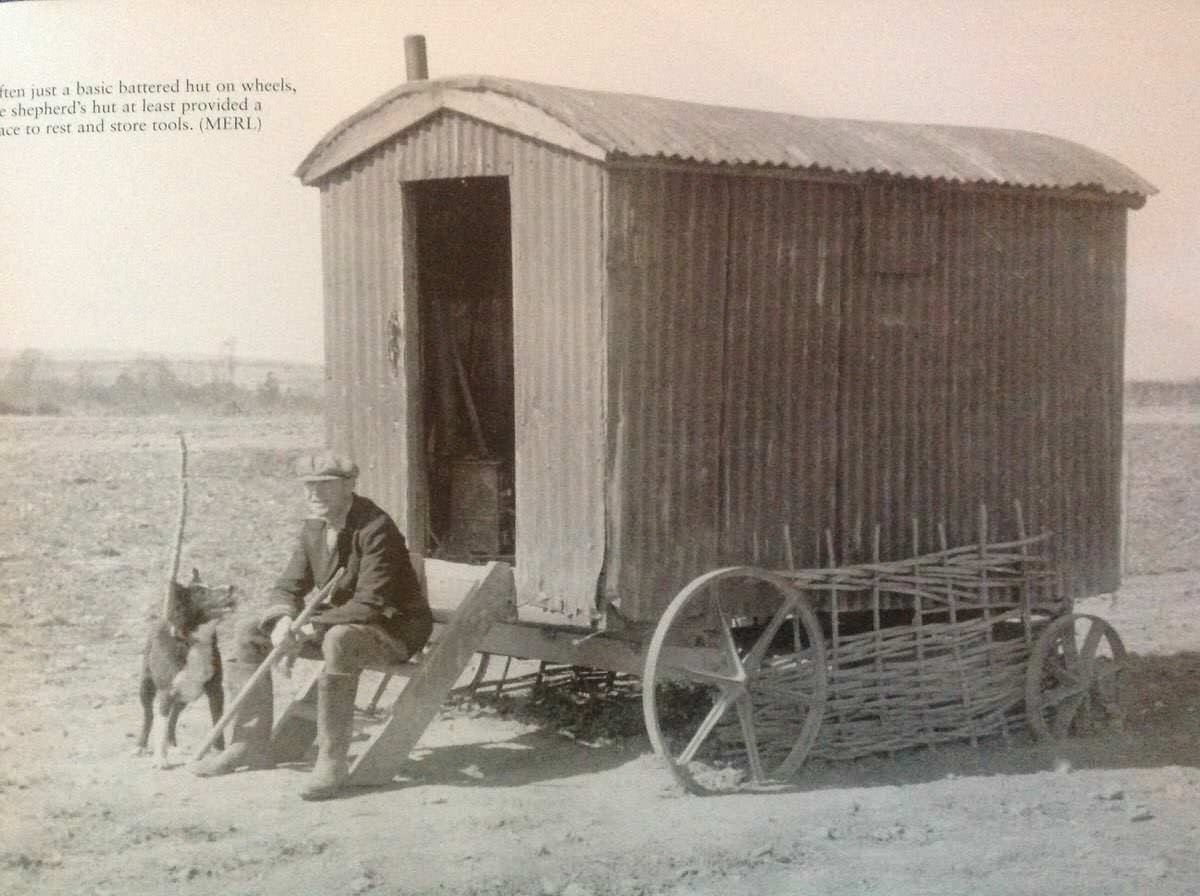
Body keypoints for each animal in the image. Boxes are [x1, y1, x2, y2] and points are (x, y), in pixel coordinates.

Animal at [138, 570, 236, 767]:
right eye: (202, 593)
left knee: (173, 718)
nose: (231, 587)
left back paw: (173, 745)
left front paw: (219, 751)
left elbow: (217, 722)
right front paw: (160, 759)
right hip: (146, 688)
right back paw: (142, 746)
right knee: (149, 716)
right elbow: (160, 725)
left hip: (185, 697)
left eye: (210, 586)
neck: (193, 641)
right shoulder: (166, 693)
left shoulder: (215, 690)